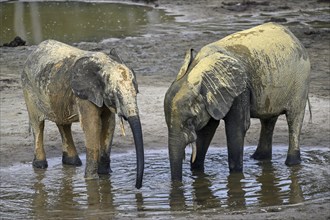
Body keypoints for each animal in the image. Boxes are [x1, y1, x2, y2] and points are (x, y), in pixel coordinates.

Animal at [21, 39, 144, 187]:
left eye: (136, 93)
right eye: (115, 95)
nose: (137, 186)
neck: (106, 64)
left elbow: (109, 125)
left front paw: (105, 175)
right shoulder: (84, 95)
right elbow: (92, 126)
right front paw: (91, 180)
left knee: (63, 123)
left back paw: (72, 163)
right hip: (29, 89)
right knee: (38, 124)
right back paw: (40, 165)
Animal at [165, 22, 312, 182]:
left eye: (190, 121)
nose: (177, 184)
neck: (195, 70)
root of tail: (294, 37)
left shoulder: (240, 91)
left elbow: (236, 127)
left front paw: (236, 176)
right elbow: (207, 129)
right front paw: (197, 171)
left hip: (300, 82)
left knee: (294, 119)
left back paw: (291, 164)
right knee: (268, 120)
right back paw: (259, 158)